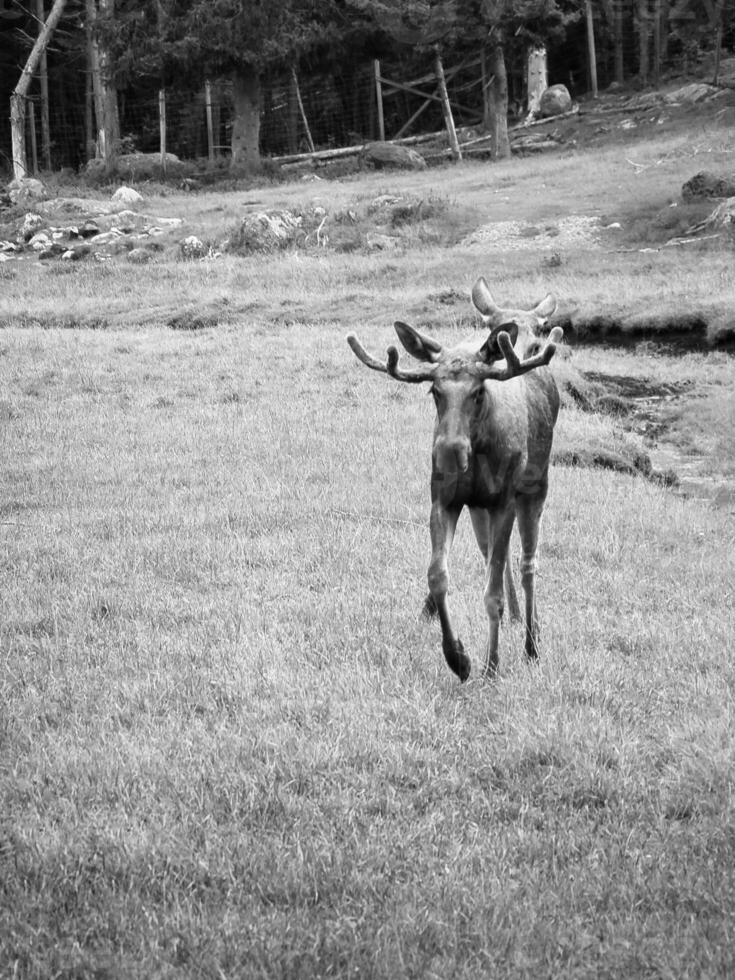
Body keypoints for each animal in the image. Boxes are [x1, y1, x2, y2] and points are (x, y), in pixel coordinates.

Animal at [350, 280, 564, 680]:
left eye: (478, 392)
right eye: (435, 391)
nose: (449, 452)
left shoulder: (504, 500)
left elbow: (492, 594)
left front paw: (491, 666)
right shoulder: (444, 499)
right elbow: (438, 577)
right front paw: (458, 658)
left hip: (535, 487)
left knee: (528, 564)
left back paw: (532, 644)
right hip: (480, 507)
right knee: (495, 557)